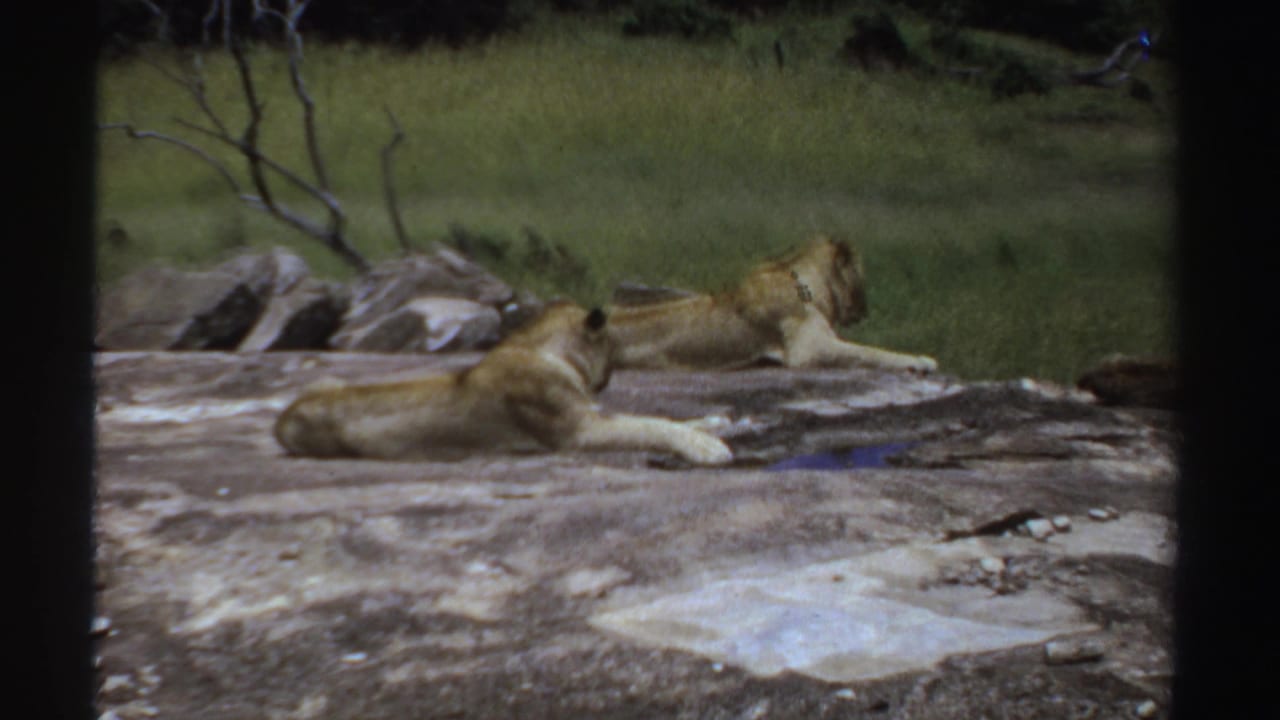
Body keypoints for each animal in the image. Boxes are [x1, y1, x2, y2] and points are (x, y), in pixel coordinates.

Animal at [273, 302, 733, 465]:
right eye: (611, 345)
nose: (608, 378)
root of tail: (281, 418)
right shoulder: (578, 431)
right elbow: (649, 424)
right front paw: (709, 448)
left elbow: (660, 416)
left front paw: (715, 424)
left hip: (327, 378)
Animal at [606, 234, 939, 372]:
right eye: (862, 275)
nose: (866, 310)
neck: (809, 288)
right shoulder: (808, 350)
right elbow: (871, 352)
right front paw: (921, 361)